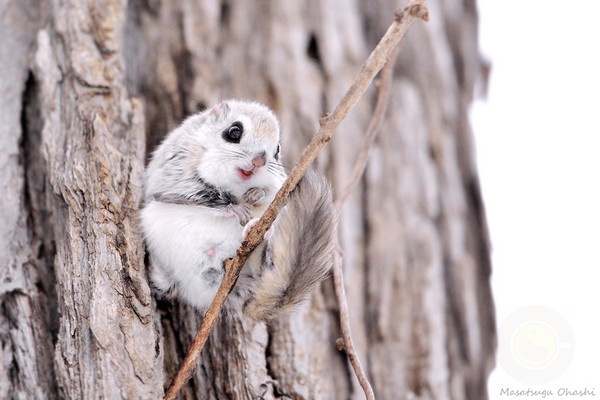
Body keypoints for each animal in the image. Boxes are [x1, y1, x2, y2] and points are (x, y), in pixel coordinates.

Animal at [140, 100, 338, 322]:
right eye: (234, 132)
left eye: (277, 150)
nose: (259, 161)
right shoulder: (176, 172)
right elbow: (199, 194)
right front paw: (236, 208)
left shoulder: (279, 182)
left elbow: (272, 192)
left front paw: (257, 194)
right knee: (167, 284)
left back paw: (256, 231)